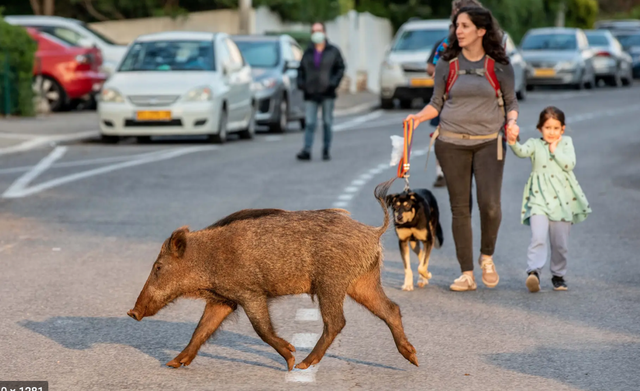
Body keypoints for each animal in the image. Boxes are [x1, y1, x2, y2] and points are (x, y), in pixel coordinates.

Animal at [129, 179, 420, 372]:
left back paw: (303, 364)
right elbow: (201, 330)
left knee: (337, 322)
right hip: (361, 282)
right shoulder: (223, 299)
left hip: (331, 282)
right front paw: (173, 363)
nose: (132, 312)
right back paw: (414, 358)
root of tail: (373, 232)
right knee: (390, 309)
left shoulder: (250, 293)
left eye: (158, 267)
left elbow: (262, 329)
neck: (208, 259)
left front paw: (290, 357)